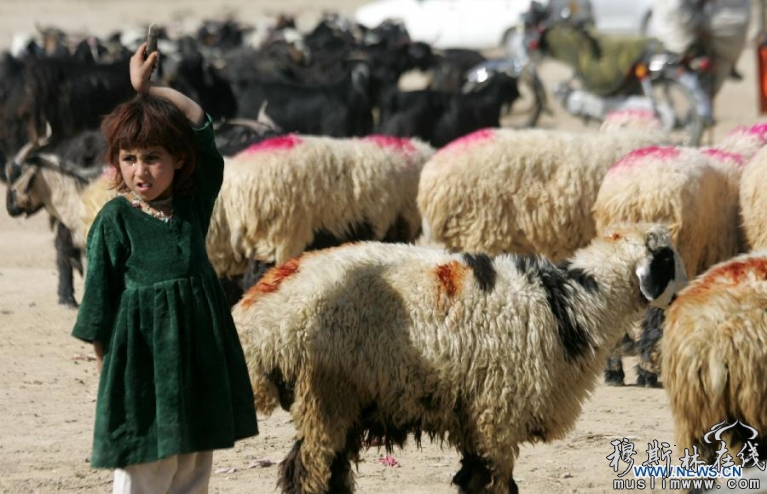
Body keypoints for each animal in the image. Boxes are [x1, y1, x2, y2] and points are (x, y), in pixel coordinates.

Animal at [232, 223, 684, 494]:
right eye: (668, 259)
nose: (686, 290)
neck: (572, 303)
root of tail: (260, 306)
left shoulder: (476, 414)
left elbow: (474, 476)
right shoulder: (497, 412)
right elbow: (495, 481)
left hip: (334, 398)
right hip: (327, 392)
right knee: (310, 470)